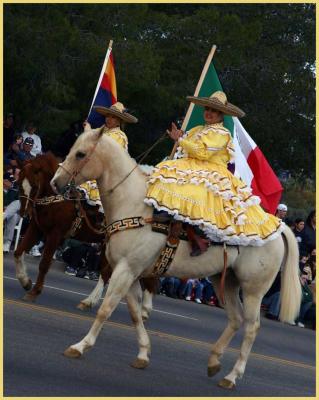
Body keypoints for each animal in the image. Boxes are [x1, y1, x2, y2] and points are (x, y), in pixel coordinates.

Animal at [14, 152, 158, 318]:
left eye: (35, 186)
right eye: (19, 183)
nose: (25, 213)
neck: (56, 200)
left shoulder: (55, 234)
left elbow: (44, 264)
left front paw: (34, 292)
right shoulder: (37, 228)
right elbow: (18, 252)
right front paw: (25, 282)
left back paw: (144, 311)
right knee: (106, 273)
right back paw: (89, 302)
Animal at [50, 126, 302, 390]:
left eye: (80, 154)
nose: (55, 183)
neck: (133, 205)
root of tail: (278, 226)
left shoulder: (126, 270)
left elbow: (106, 309)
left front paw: (80, 346)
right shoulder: (131, 272)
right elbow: (134, 313)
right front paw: (143, 354)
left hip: (253, 290)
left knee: (252, 327)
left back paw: (232, 376)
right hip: (226, 282)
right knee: (235, 319)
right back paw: (214, 362)